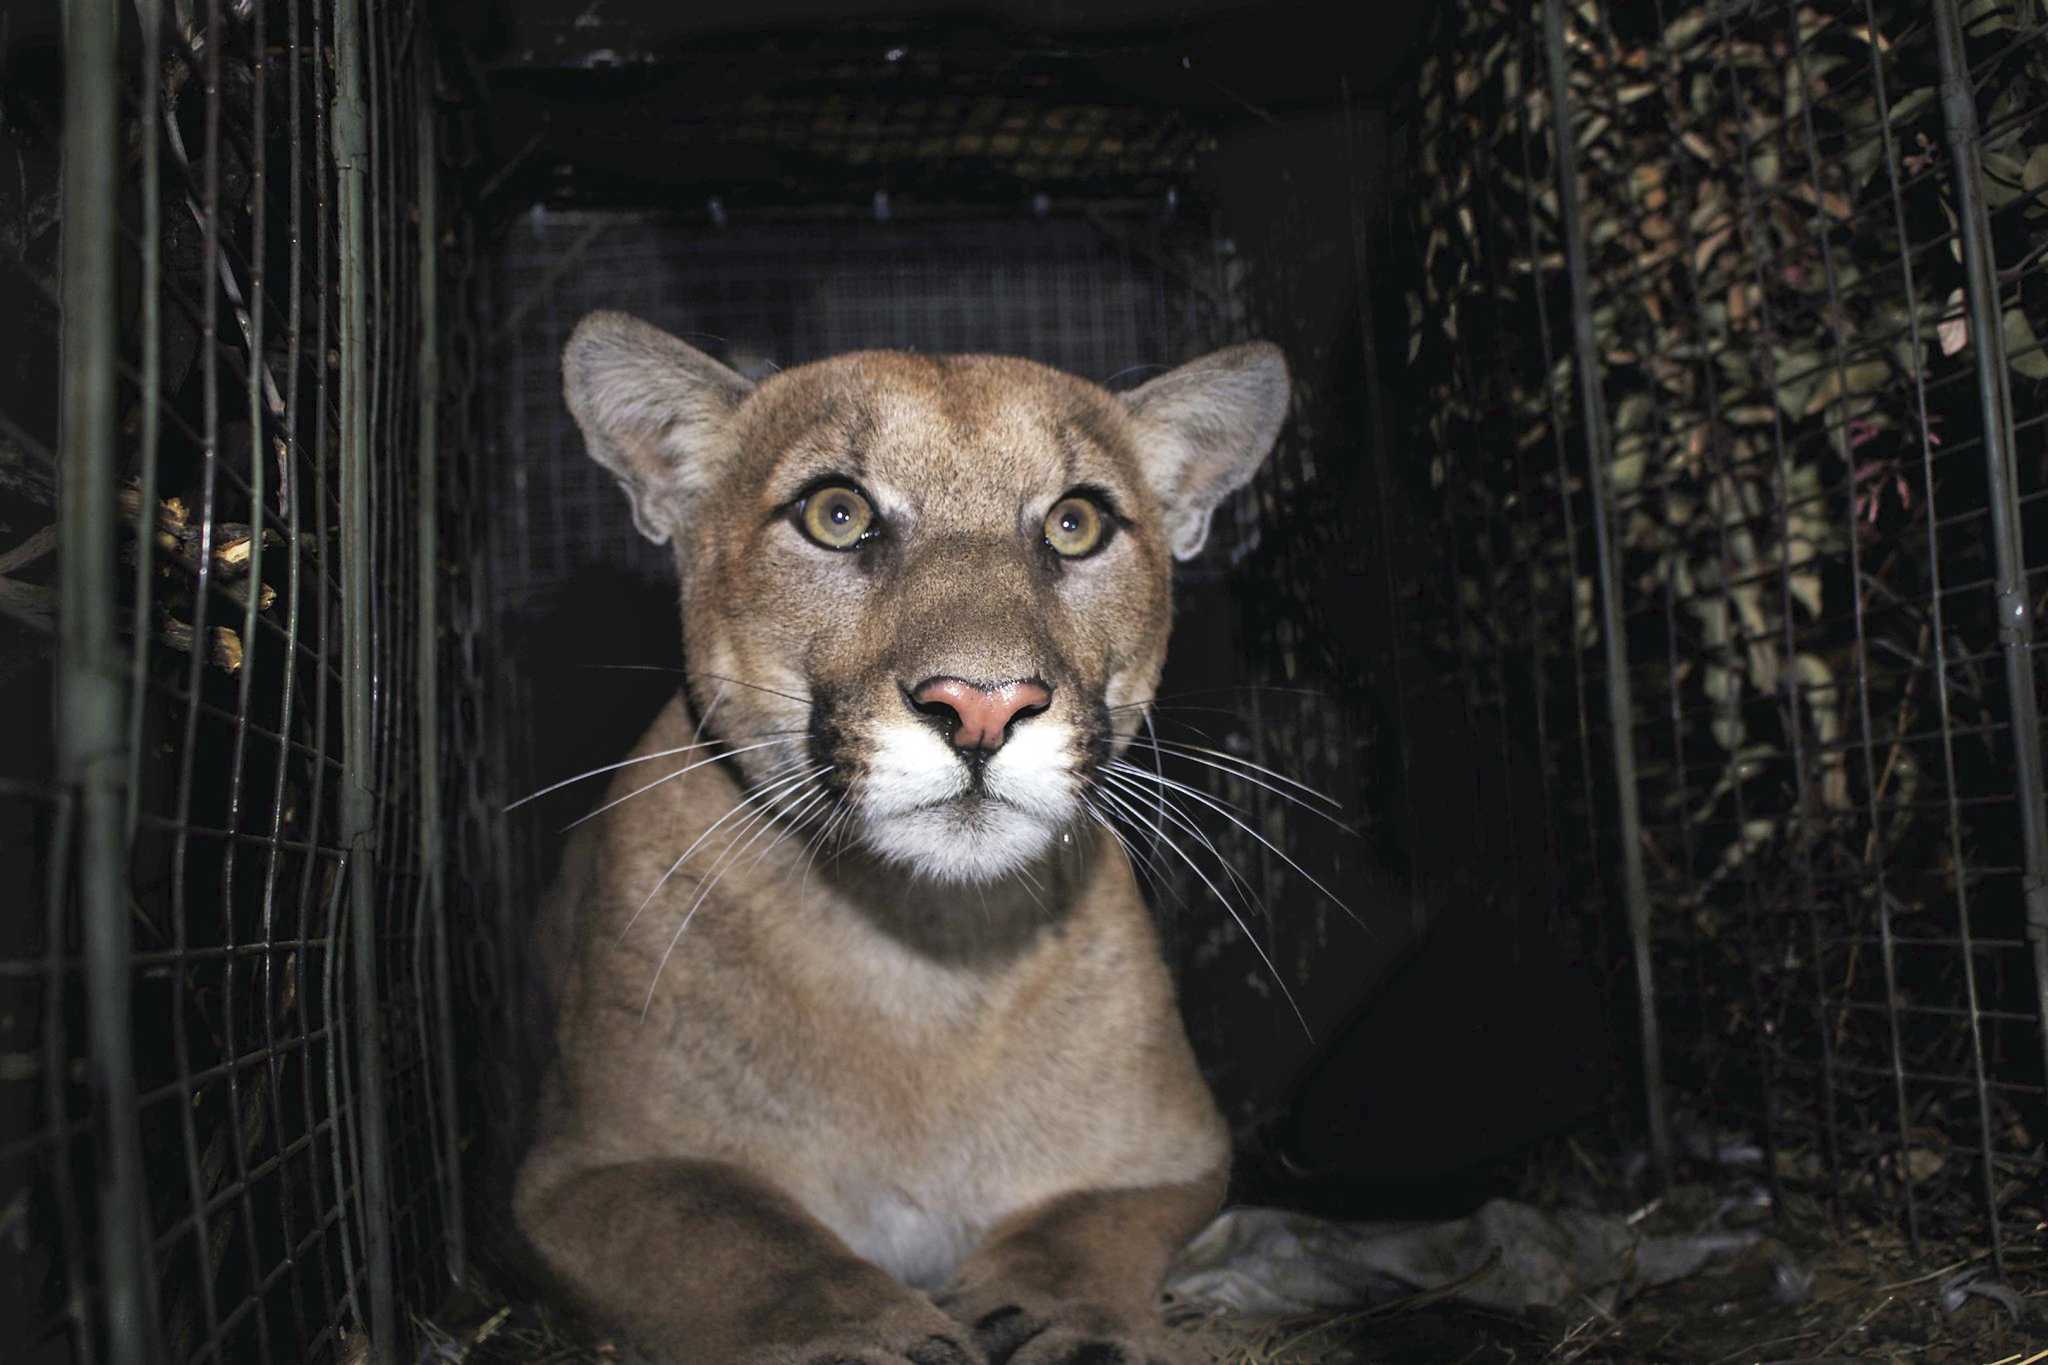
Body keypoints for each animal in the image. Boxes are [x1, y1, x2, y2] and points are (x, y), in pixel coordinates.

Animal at [509, 313, 1286, 1365]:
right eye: (836, 513)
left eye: (1076, 524)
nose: (984, 704)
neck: (924, 949)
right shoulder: (595, 1167)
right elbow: (751, 1241)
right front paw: (856, 1336)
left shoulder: (1169, 1156)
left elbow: (1081, 1229)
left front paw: (1071, 1325)